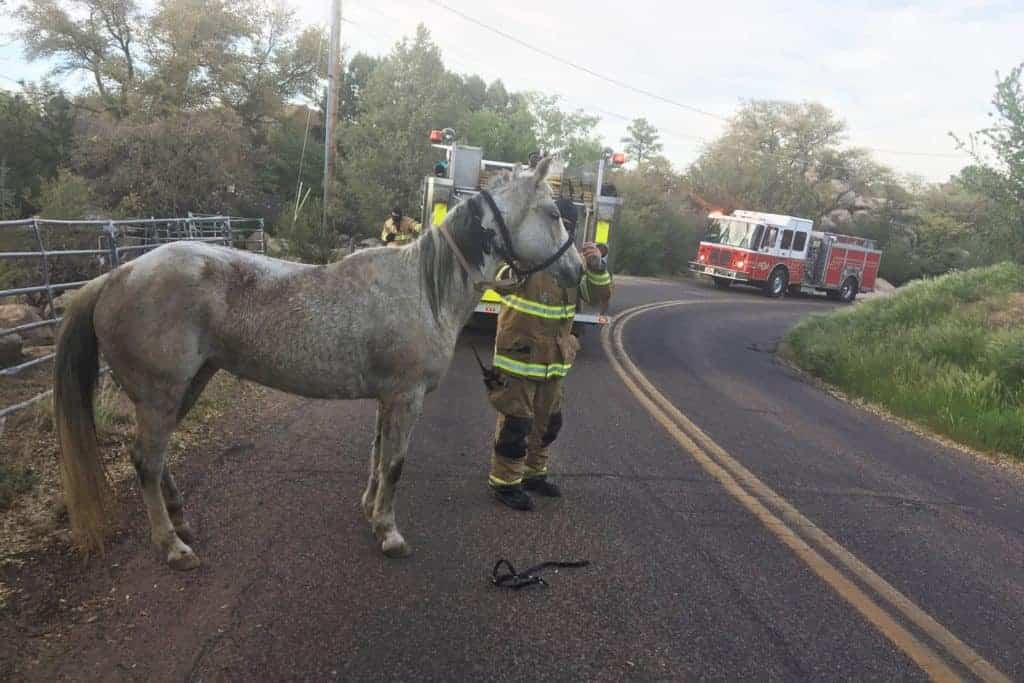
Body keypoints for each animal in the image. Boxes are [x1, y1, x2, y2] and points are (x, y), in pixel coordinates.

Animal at [53, 157, 583, 570]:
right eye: (552, 213)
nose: (577, 269)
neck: (424, 288)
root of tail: (117, 275)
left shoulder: (388, 398)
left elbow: (376, 457)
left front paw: (371, 513)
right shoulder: (407, 397)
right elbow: (395, 464)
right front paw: (390, 534)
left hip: (184, 388)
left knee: (154, 459)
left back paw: (181, 521)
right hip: (161, 393)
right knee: (146, 460)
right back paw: (172, 547)